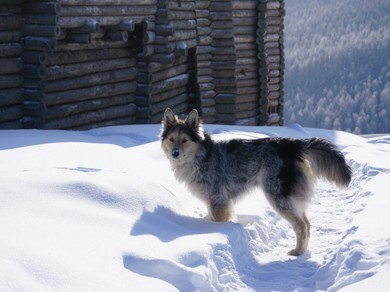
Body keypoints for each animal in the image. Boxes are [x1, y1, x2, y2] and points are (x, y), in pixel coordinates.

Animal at [160, 108, 352, 256]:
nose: (175, 153)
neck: (202, 156)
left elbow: (218, 222)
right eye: (171, 139)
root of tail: (291, 145)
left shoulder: (218, 201)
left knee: (301, 225)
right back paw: (303, 250)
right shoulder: (214, 202)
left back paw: (297, 252)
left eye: (185, 140)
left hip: (278, 196)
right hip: (291, 199)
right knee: (307, 223)